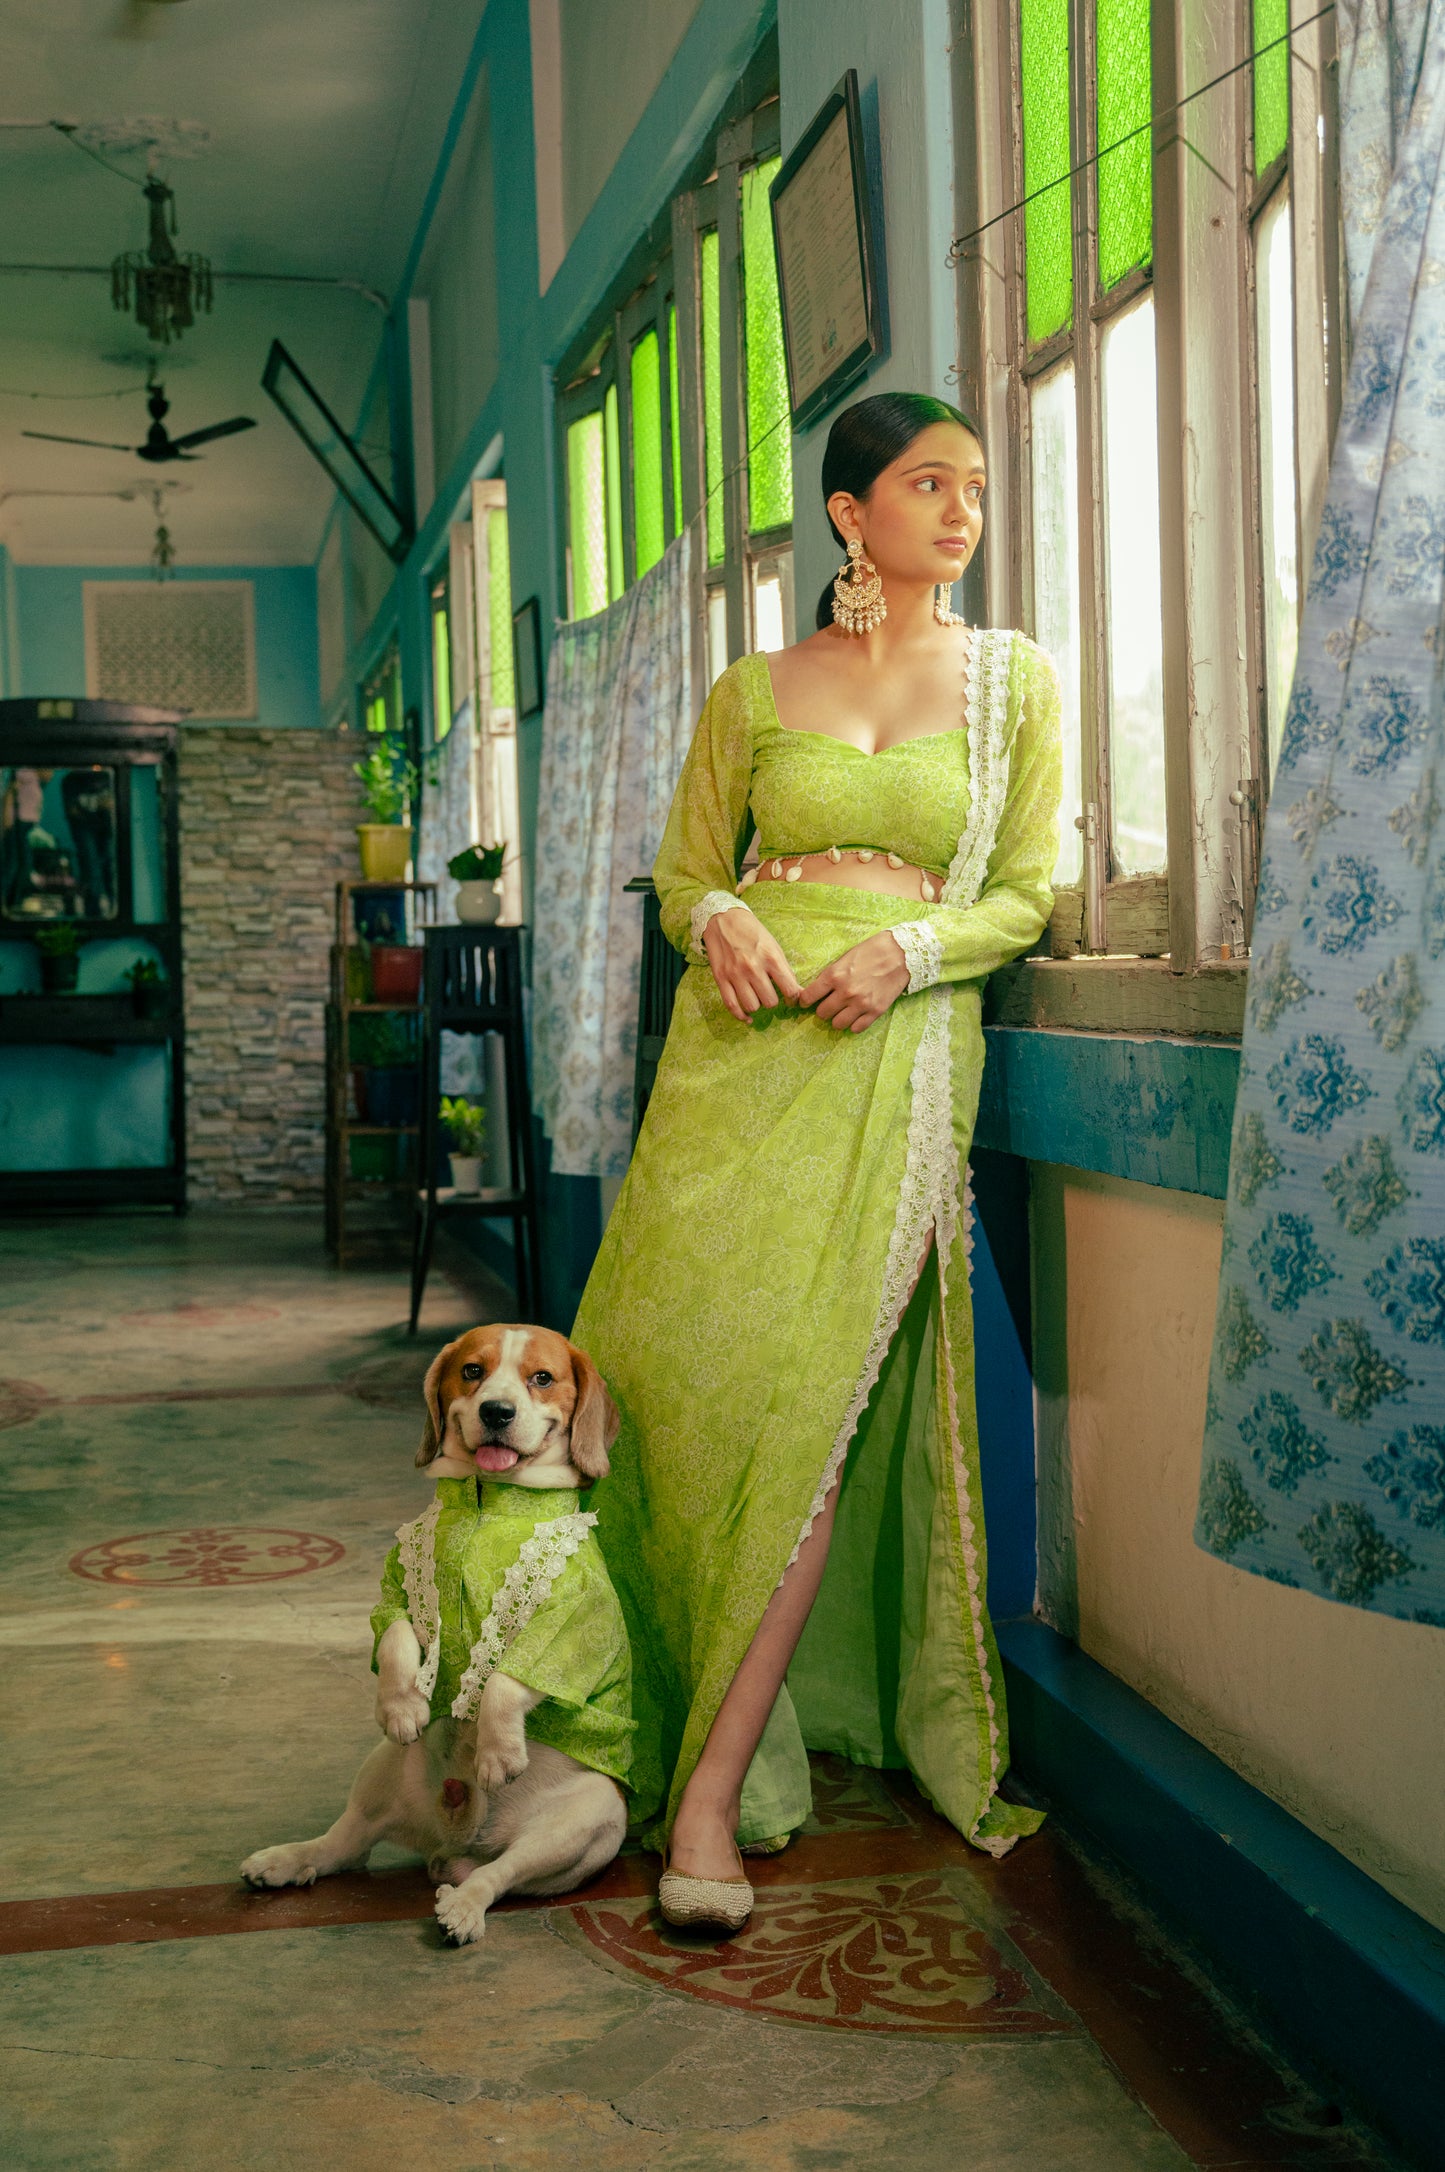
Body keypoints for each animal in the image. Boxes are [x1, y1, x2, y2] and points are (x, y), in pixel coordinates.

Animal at [239, 1320, 630, 1954]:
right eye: (472, 1371)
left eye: (542, 1378)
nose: (496, 1411)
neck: (486, 1503)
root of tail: (457, 1839)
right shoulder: (398, 1592)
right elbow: (398, 1639)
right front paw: (402, 1706)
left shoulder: (567, 1627)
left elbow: (504, 1680)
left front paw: (498, 1750)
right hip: (380, 1771)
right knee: (343, 1846)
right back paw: (285, 1859)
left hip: (586, 1818)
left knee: (500, 1875)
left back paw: (464, 1907)